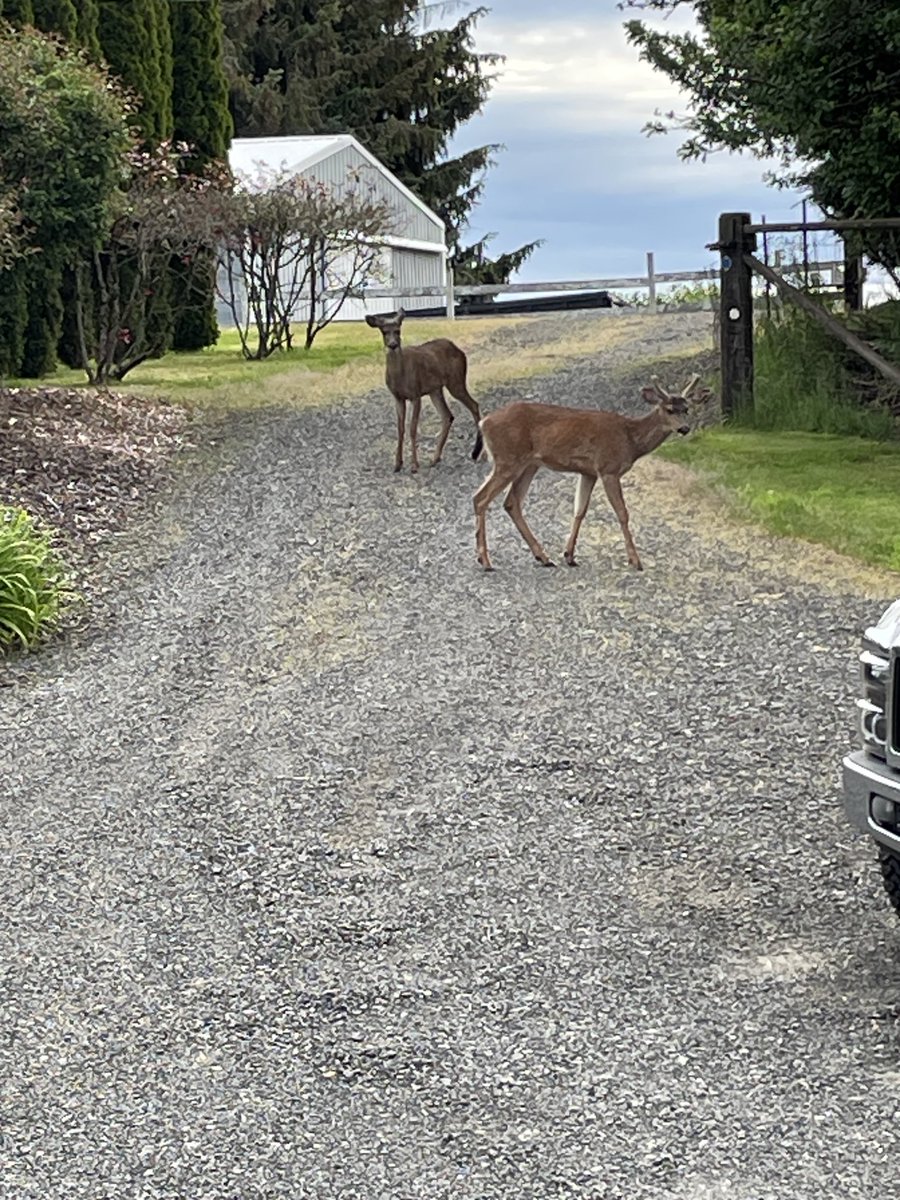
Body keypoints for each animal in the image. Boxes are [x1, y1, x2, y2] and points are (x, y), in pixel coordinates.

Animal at [367, 309, 482, 472]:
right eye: (384, 331)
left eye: (398, 330)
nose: (393, 345)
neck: (400, 376)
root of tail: (459, 351)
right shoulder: (398, 397)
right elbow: (400, 429)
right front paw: (397, 464)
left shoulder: (416, 394)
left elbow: (412, 428)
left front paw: (414, 465)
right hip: (435, 389)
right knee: (448, 415)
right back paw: (435, 458)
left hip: (456, 381)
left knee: (474, 405)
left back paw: (478, 453)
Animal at [472, 376, 710, 573]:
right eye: (669, 409)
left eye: (686, 409)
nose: (685, 429)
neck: (630, 439)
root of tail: (484, 422)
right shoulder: (608, 468)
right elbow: (622, 513)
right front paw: (635, 560)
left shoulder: (589, 472)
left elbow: (580, 510)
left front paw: (569, 555)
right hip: (508, 459)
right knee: (480, 498)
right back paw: (485, 561)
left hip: (529, 464)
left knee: (511, 502)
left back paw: (544, 557)